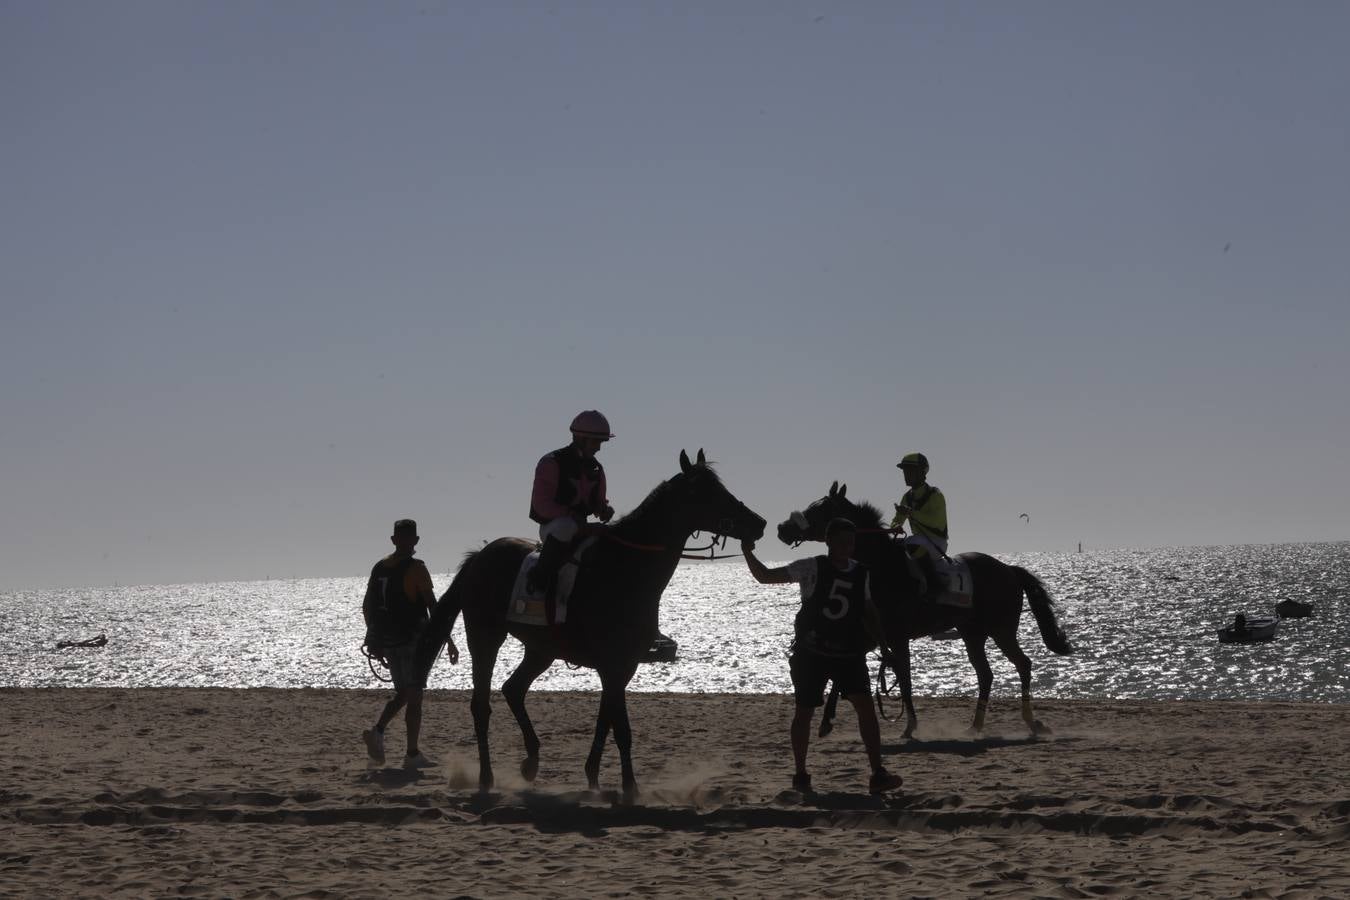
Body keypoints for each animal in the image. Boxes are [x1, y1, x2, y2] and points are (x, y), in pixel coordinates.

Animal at [415, 453, 766, 798]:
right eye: (706, 492)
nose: (759, 524)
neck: (624, 568)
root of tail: (479, 557)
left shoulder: (623, 666)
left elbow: (605, 720)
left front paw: (594, 777)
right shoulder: (613, 664)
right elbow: (621, 728)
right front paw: (630, 787)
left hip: (541, 650)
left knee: (513, 689)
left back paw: (531, 762)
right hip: (485, 637)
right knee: (481, 706)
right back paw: (486, 778)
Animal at [777, 485, 1069, 739]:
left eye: (820, 509)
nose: (782, 528)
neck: (883, 567)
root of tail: (1008, 569)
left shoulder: (897, 638)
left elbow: (905, 681)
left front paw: (909, 727)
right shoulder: (869, 638)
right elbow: (843, 677)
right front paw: (826, 723)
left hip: (1001, 630)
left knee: (1023, 664)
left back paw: (1032, 723)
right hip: (972, 633)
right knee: (986, 674)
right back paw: (975, 727)